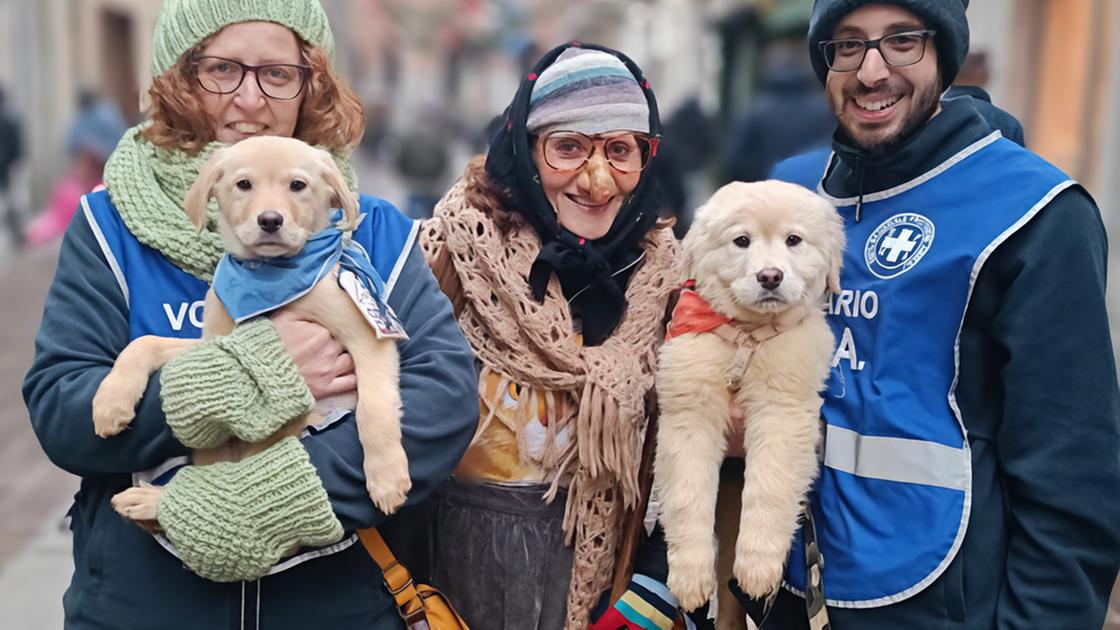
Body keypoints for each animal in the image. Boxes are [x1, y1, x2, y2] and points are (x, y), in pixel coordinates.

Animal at [94, 136, 412, 515]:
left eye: (298, 185)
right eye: (244, 184)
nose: (270, 220)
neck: (269, 276)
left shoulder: (367, 335)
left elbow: (374, 407)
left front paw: (387, 476)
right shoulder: (214, 344)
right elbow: (144, 343)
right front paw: (111, 402)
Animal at [654, 179, 842, 609]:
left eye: (793, 240)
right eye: (741, 240)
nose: (769, 276)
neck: (747, 336)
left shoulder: (782, 412)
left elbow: (769, 488)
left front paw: (757, 568)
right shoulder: (689, 413)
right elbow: (688, 494)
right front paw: (689, 577)